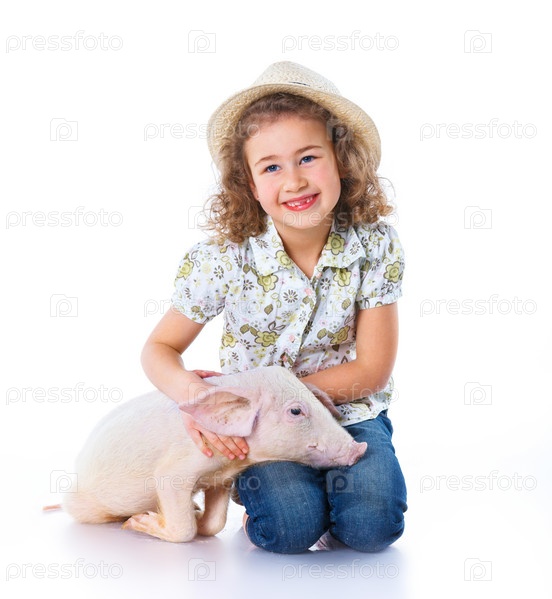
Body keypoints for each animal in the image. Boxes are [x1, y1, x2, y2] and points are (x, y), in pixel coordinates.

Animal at [61, 366, 367, 543]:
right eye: (295, 411)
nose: (360, 449)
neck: (235, 461)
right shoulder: (176, 468)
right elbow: (184, 527)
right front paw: (138, 522)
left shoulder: (222, 478)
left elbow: (215, 523)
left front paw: (199, 517)